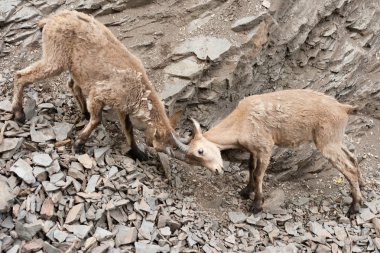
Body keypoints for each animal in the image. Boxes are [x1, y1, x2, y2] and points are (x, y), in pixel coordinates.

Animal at [10, 10, 186, 159]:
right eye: (159, 145)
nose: (156, 150)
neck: (138, 88)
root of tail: (50, 20)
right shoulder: (100, 93)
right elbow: (97, 120)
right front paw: (78, 143)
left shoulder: (121, 107)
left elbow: (128, 128)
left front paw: (137, 153)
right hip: (55, 58)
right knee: (21, 76)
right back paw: (18, 113)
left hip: (75, 67)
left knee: (72, 85)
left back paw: (83, 112)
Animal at [175, 89, 366, 215]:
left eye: (200, 151)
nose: (217, 171)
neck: (241, 121)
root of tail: (343, 108)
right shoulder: (253, 150)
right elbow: (251, 168)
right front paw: (246, 191)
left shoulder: (265, 148)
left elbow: (258, 174)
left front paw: (256, 204)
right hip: (334, 139)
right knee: (351, 156)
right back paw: (362, 185)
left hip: (327, 142)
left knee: (348, 168)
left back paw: (354, 206)